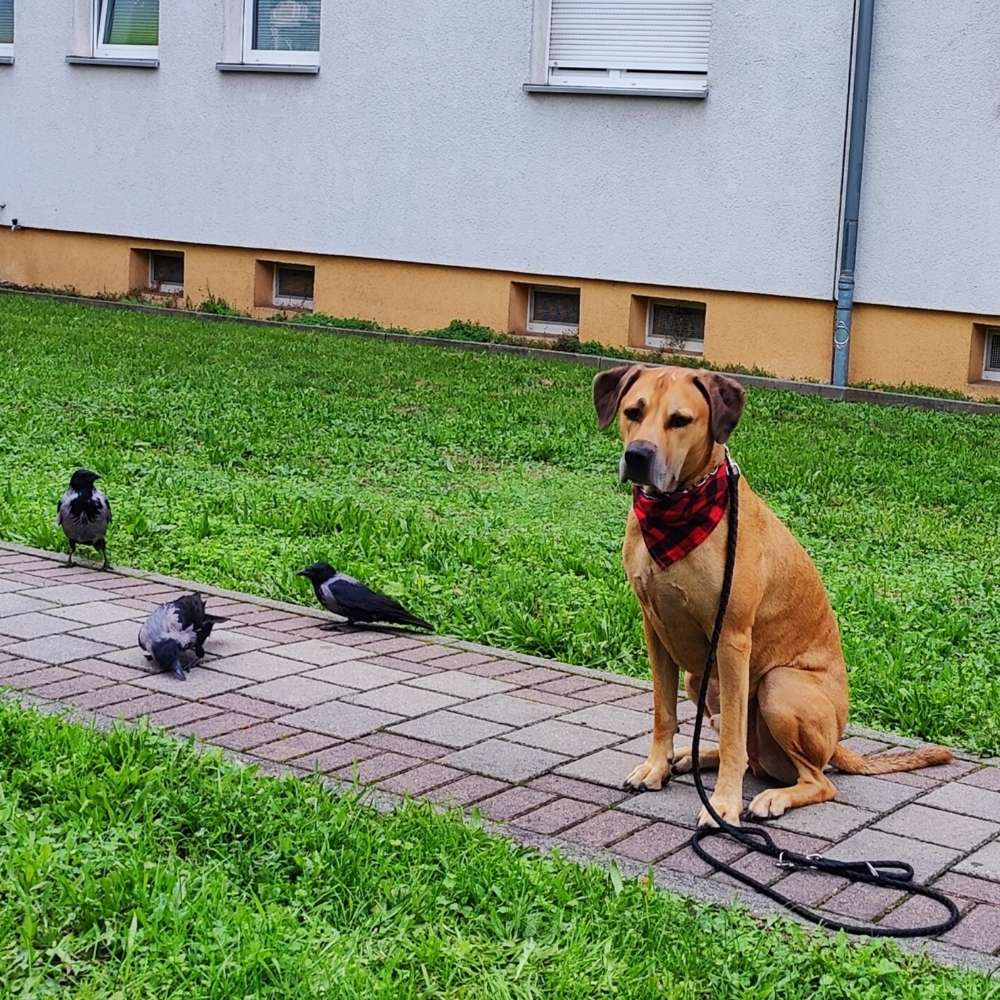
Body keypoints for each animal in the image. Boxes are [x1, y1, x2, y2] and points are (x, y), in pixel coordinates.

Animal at [592, 364, 952, 824]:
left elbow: (732, 739)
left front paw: (722, 806)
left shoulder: (730, 639)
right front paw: (656, 766)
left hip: (777, 686)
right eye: (633, 411)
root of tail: (837, 745)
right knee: (753, 757)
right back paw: (691, 758)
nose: (638, 455)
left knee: (814, 778)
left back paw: (771, 797)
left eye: (680, 420)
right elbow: (663, 711)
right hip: (699, 679)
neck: (676, 513)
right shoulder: (656, 629)